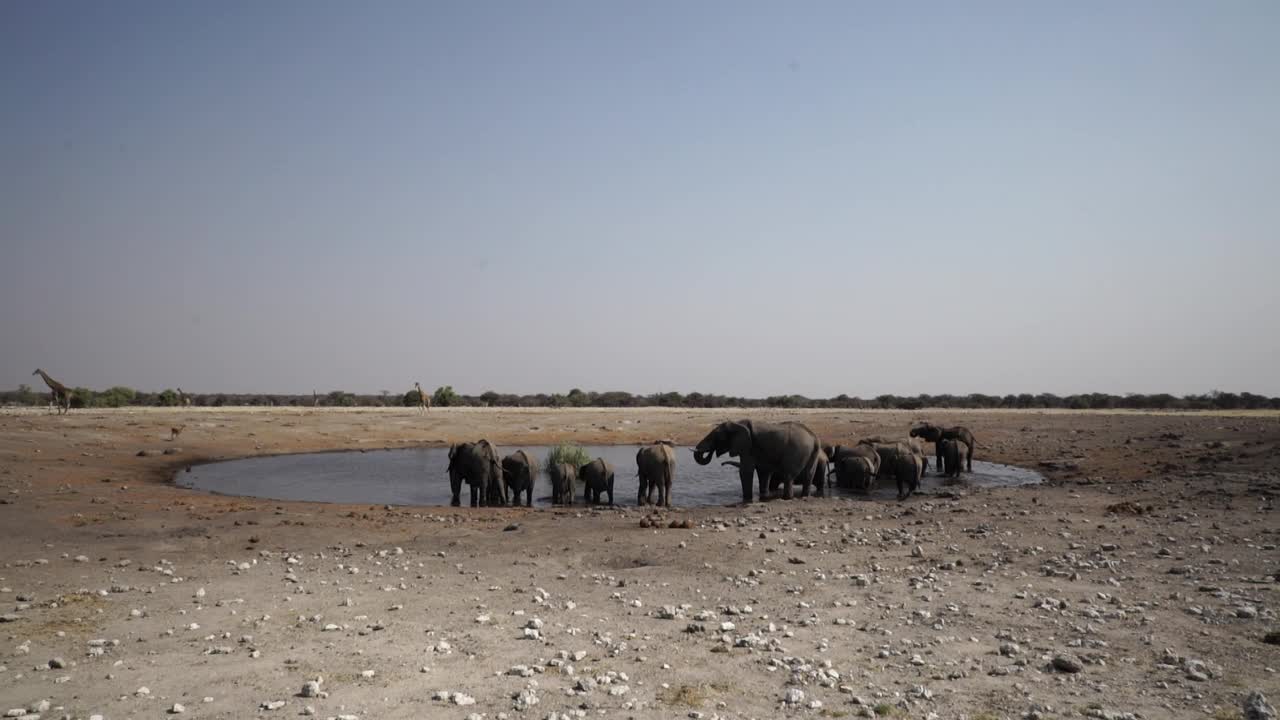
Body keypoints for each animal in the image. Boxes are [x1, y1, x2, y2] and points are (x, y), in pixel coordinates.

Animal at [696, 417, 824, 502]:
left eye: (716, 435)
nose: (721, 464)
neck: (736, 423)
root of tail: (814, 437)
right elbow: (764, 472)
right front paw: (764, 497)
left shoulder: (748, 447)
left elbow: (746, 471)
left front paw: (747, 500)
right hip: (813, 452)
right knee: (808, 476)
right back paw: (804, 497)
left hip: (796, 451)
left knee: (788, 476)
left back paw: (787, 498)